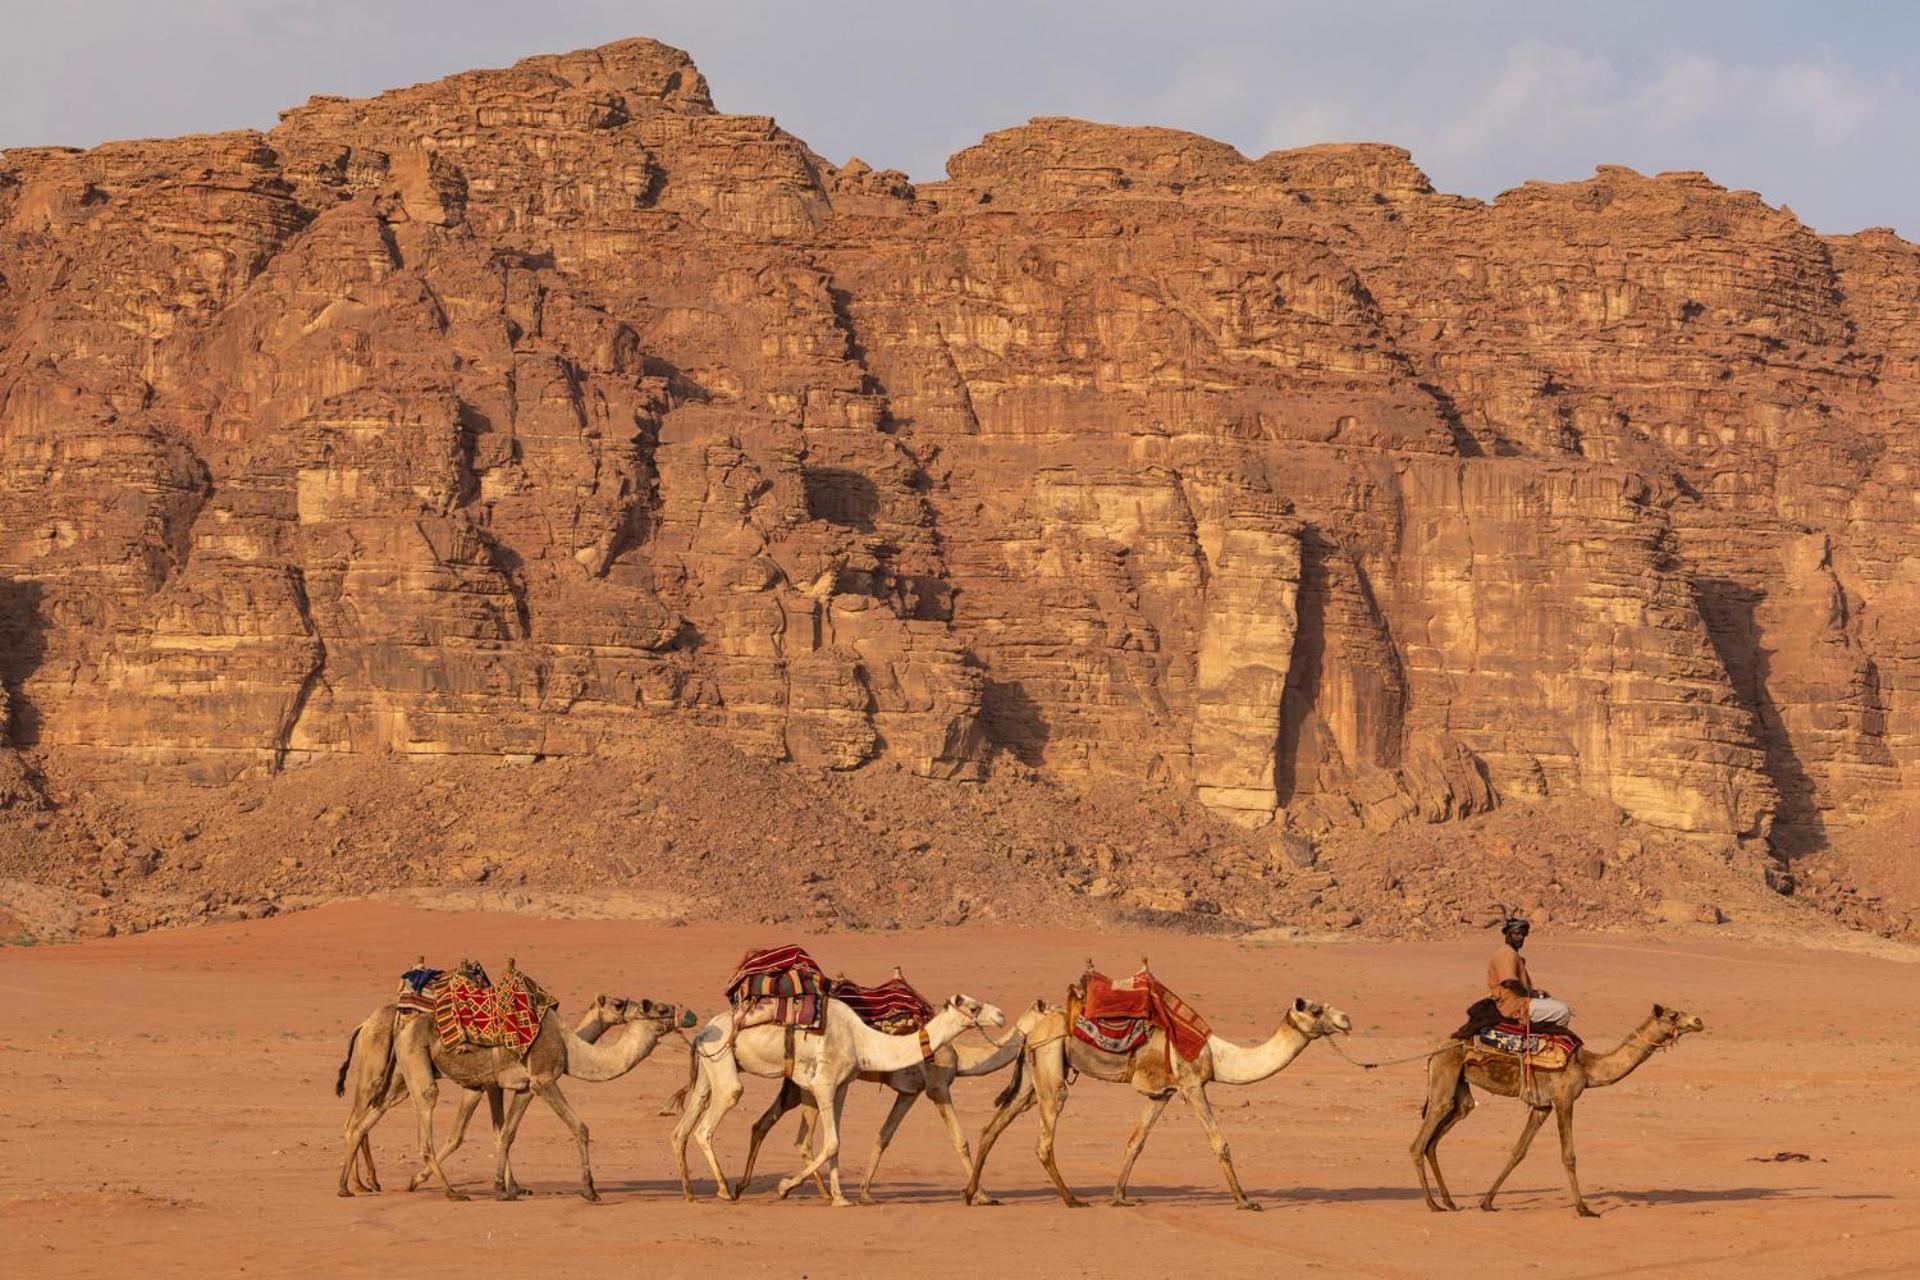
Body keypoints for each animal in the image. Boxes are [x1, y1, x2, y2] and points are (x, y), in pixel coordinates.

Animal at [336, 990, 691, 1205]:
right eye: (619, 1004)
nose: (686, 1014)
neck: (570, 1047)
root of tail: (368, 1023)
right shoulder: (543, 1079)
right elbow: (580, 1127)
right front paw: (590, 1190)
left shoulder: (518, 1087)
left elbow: (504, 1134)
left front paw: (507, 1188)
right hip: (405, 1063)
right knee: (409, 1119)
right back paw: (449, 1192)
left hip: (400, 1074)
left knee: (363, 1121)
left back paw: (349, 1187)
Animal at [672, 990, 1006, 1212]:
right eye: (974, 1006)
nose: (1001, 1014)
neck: (863, 1040)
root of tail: (702, 1031)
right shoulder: (823, 1084)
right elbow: (831, 1142)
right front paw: (785, 1186)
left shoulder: (842, 1087)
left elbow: (836, 1141)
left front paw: (840, 1197)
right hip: (723, 1062)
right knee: (712, 1120)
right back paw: (724, 1190)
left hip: (708, 1069)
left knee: (683, 1127)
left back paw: (691, 1193)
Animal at [967, 990, 1359, 1212]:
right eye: (1317, 1010)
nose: (1346, 1019)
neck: (1217, 1054)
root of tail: (1031, 1027)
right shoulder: (1191, 1085)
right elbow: (1220, 1143)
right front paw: (1246, 1201)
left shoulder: (1162, 1092)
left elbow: (1135, 1141)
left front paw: (1121, 1196)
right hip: (1050, 1062)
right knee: (1044, 1138)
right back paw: (1072, 1199)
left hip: (1032, 1075)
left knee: (993, 1126)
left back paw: (973, 1194)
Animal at [1405, 997, 1704, 1220]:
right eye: (1674, 1015)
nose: (1698, 1021)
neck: (1589, 1067)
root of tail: (1436, 1050)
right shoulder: (1564, 1099)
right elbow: (1569, 1155)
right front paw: (1584, 1209)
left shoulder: (1542, 1106)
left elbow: (1518, 1151)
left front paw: (1487, 1202)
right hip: (1444, 1078)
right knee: (1419, 1143)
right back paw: (1433, 1204)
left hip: (1459, 1089)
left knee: (1438, 1136)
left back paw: (1449, 1201)